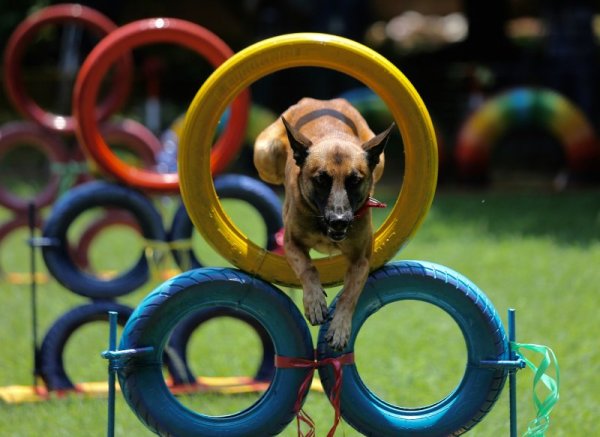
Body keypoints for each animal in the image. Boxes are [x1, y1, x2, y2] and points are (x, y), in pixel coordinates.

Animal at [253, 97, 394, 350]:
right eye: (321, 180)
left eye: (354, 180)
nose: (339, 221)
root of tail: (323, 101)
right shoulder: (293, 243)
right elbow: (308, 269)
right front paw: (315, 303)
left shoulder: (360, 260)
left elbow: (349, 295)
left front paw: (339, 328)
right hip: (265, 153)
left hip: (380, 163)